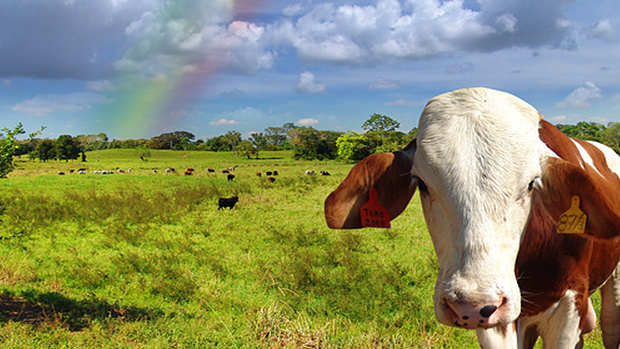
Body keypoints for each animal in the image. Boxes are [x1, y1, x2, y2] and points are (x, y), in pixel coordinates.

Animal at [322, 85, 620, 346]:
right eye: (422, 184)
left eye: (531, 183)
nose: (471, 305)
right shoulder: (497, 324)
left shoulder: (568, 307)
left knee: (610, 327)